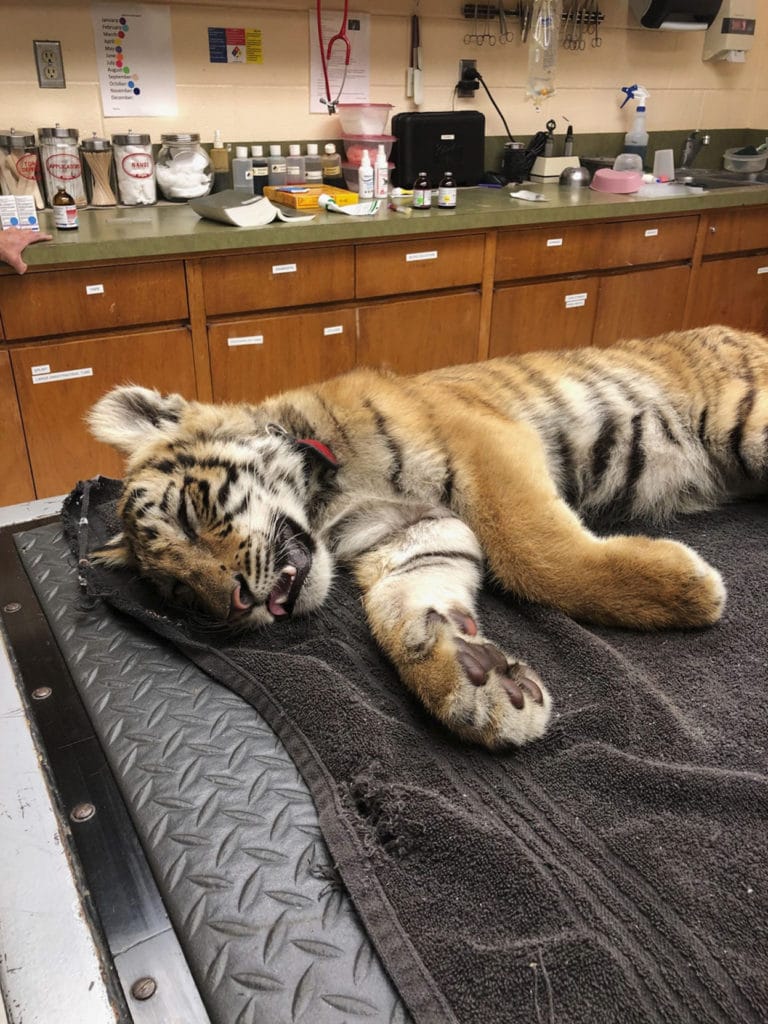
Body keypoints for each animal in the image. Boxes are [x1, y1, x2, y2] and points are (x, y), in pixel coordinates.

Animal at [87, 325, 768, 750]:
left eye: (188, 515)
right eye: (179, 593)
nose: (235, 603)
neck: (328, 502)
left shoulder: (485, 446)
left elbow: (534, 551)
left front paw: (688, 589)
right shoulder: (412, 534)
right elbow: (403, 608)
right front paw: (475, 680)